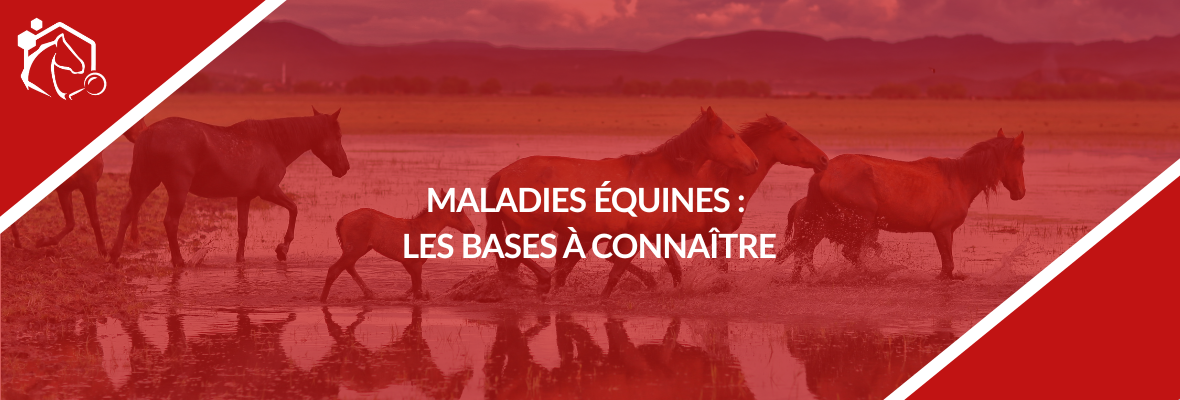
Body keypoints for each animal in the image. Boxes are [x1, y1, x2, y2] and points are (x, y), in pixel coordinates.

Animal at [11, 119, 150, 254]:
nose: (144, 133)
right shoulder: (89, 188)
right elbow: (94, 220)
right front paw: (103, 250)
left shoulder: (66, 190)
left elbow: (70, 223)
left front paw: (44, 242)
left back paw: (17, 242)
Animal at [107, 109, 350, 268]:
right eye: (338, 137)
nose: (345, 167)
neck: (273, 142)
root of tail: (148, 133)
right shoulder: (269, 191)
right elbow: (294, 209)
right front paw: (283, 249)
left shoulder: (244, 197)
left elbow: (243, 229)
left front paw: (240, 259)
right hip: (177, 190)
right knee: (170, 222)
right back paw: (178, 260)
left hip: (145, 184)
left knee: (127, 213)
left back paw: (115, 255)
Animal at [320, 207, 476, 302]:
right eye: (459, 212)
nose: (472, 228)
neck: (424, 230)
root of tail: (341, 221)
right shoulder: (415, 263)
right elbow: (417, 288)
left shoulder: (408, 263)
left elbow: (416, 285)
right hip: (355, 249)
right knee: (334, 269)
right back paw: (323, 299)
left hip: (358, 249)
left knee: (349, 267)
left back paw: (370, 293)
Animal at [485, 107, 760, 297]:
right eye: (731, 136)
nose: (754, 162)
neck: (659, 175)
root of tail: (503, 172)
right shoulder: (636, 236)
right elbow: (616, 274)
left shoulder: (652, 235)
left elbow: (669, 267)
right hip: (533, 229)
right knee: (514, 253)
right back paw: (542, 282)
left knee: (511, 258)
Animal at [777, 129, 1026, 280]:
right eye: (1021, 159)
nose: (1020, 193)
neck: (959, 180)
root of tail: (823, 172)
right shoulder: (942, 230)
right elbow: (947, 267)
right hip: (861, 221)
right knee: (847, 252)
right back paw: (875, 274)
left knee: (802, 254)